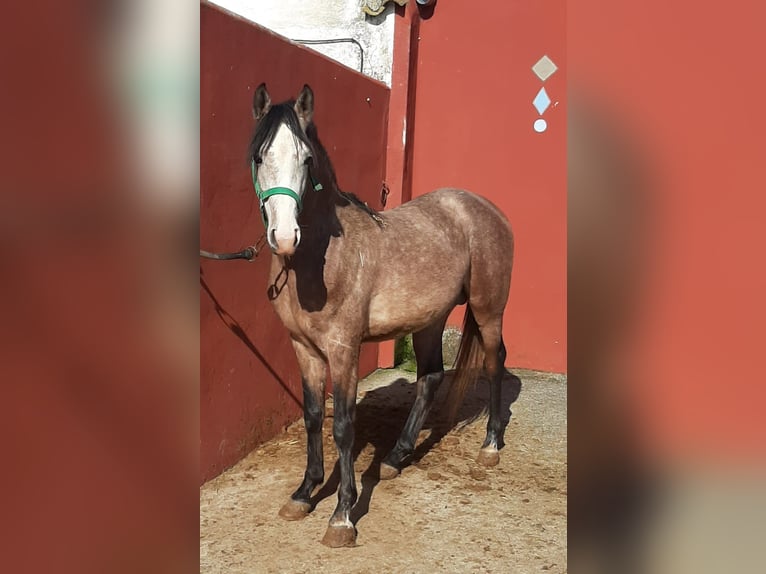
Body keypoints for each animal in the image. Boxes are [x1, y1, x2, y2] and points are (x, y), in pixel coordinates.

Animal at [248, 83, 514, 547]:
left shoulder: (344, 349)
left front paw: (342, 516)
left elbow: (343, 426)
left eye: (306, 159)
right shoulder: (304, 348)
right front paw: (304, 493)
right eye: (260, 157)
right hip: (430, 319)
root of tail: (486, 209)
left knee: (494, 363)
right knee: (430, 377)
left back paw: (490, 447)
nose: (284, 237)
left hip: (488, 310)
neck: (320, 259)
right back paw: (395, 457)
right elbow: (313, 416)